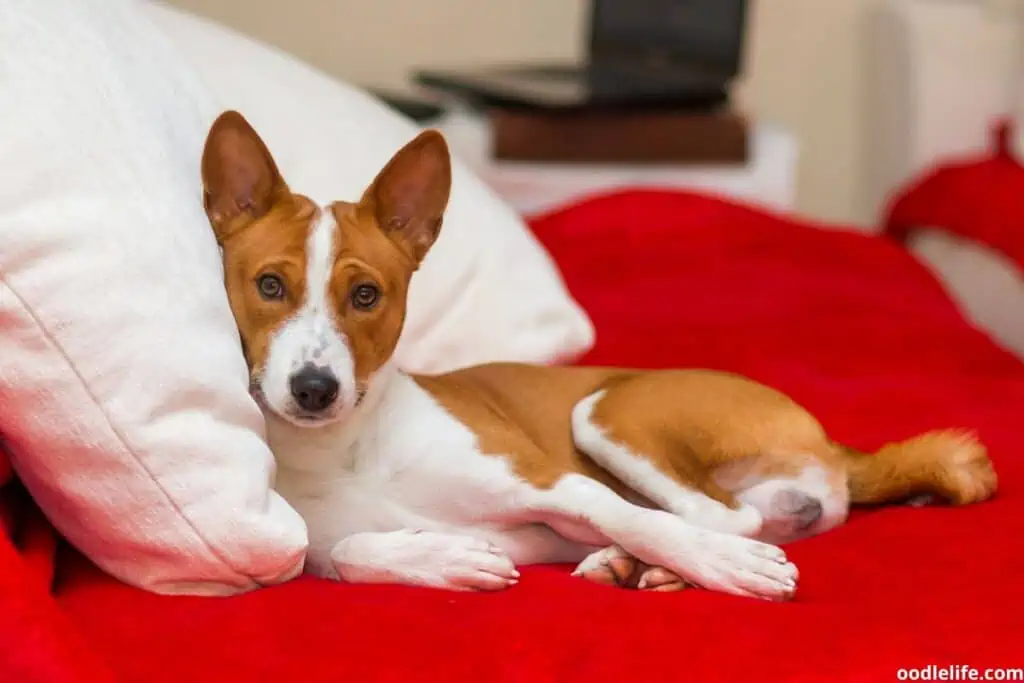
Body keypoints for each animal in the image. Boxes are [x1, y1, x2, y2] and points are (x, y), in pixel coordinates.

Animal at [201, 109, 999, 602]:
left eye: (365, 294)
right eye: (270, 285)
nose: (313, 387)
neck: (351, 446)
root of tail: (836, 446)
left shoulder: (557, 483)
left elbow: (642, 518)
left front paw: (717, 565)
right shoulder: (317, 548)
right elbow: (358, 549)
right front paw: (444, 556)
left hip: (607, 410)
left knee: (713, 516)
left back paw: (671, 559)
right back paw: (632, 568)